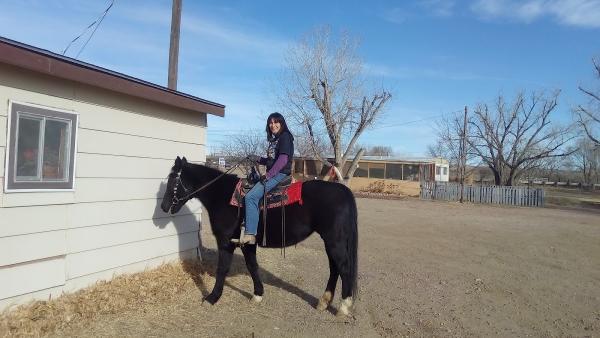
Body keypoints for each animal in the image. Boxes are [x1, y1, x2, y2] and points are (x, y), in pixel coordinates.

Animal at [159, 157, 358, 316]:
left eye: (173, 179)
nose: (164, 206)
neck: (223, 196)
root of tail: (342, 190)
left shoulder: (225, 242)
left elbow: (222, 269)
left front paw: (212, 298)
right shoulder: (248, 243)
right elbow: (252, 266)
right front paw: (257, 295)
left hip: (334, 241)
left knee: (344, 268)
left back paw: (344, 307)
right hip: (331, 241)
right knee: (334, 269)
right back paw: (323, 302)